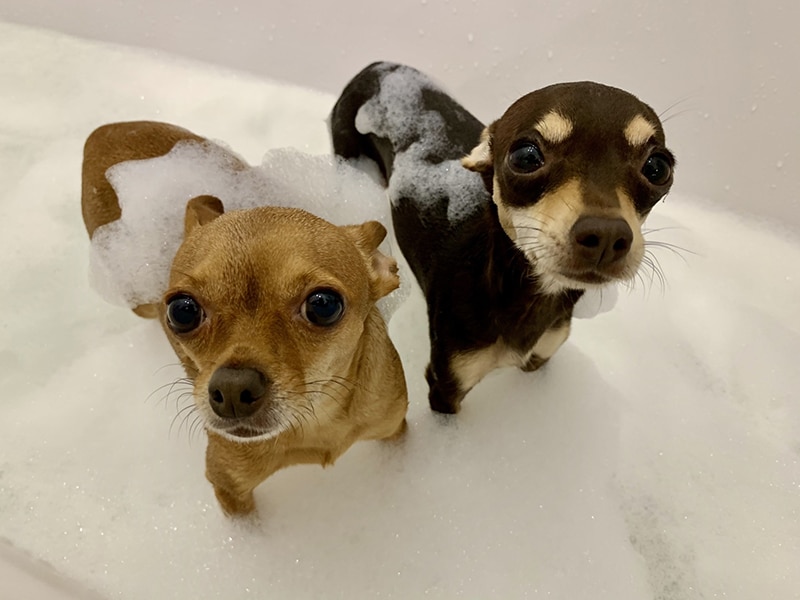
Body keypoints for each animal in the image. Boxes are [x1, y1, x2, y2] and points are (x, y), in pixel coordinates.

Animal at [82, 122, 410, 516]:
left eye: (323, 305)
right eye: (182, 310)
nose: (233, 391)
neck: (315, 422)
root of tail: (105, 130)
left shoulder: (393, 430)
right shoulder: (230, 488)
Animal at [332, 63, 676, 414]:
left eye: (658, 168)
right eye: (526, 157)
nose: (606, 235)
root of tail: (377, 66)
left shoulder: (540, 358)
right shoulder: (446, 386)